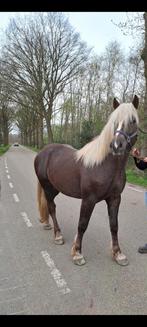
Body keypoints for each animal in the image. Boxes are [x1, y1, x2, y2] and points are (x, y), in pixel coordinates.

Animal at [34, 94, 139, 266]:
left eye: (133, 120)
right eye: (114, 121)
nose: (117, 145)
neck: (104, 165)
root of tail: (43, 152)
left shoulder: (115, 198)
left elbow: (114, 225)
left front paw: (118, 254)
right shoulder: (89, 199)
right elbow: (82, 225)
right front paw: (77, 253)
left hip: (55, 188)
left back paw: (48, 224)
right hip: (48, 187)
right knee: (51, 207)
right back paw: (58, 235)